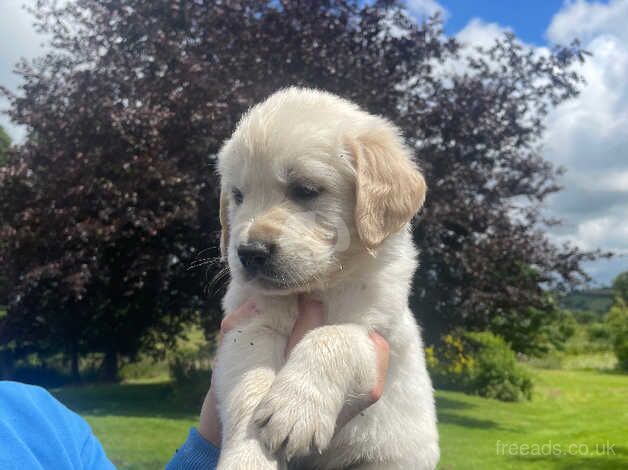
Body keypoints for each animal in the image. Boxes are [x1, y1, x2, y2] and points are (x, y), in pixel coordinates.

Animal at [211, 86, 436, 468]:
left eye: (305, 190)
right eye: (238, 196)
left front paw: (295, 407)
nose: (250, 253)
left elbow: (333, 336)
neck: (322, 286)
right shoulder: (248, 325)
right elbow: (250, 386)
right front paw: (249, 457)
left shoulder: (378, 334)